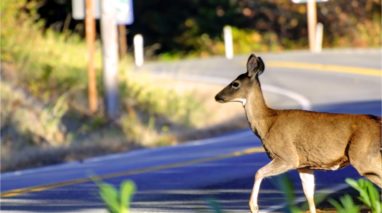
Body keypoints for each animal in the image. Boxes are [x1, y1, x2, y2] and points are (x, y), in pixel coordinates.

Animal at [215, 53, 382, 213]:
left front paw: (253, 207)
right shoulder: (304, 165)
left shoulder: (287, 156)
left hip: (363, 156)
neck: (267, 123)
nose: (217, 96)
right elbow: (309, 196)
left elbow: (258, 172)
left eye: (235, 83)